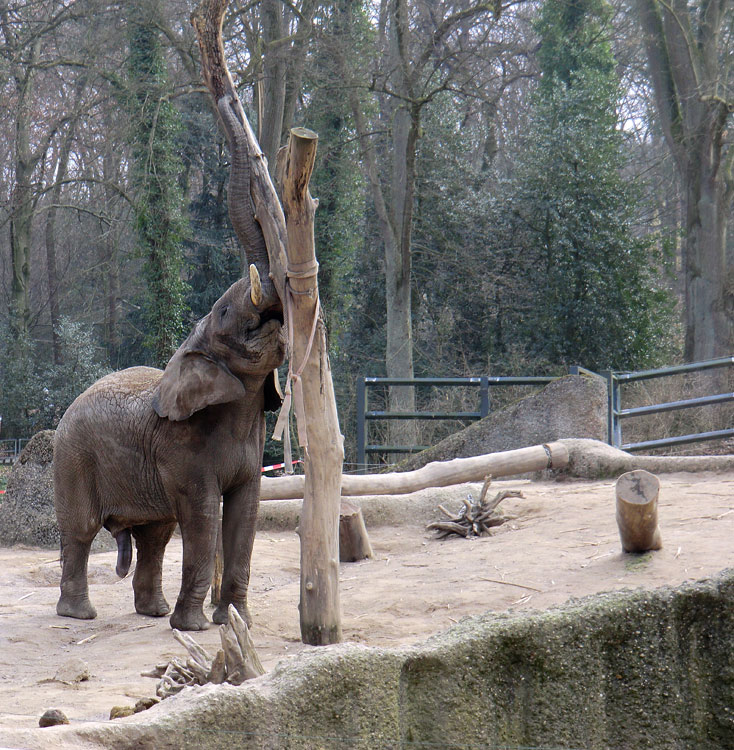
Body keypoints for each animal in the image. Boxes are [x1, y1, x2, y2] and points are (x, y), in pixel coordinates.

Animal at [52, 268, 284, 632]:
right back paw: (79, 614)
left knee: (155, 536)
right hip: (72, 457)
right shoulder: (183, 445)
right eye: (224, 312)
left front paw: (238, 623)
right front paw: (193, 627)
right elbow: (203, 514)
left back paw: (154, 612)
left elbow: (245, 511)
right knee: (81, 529)